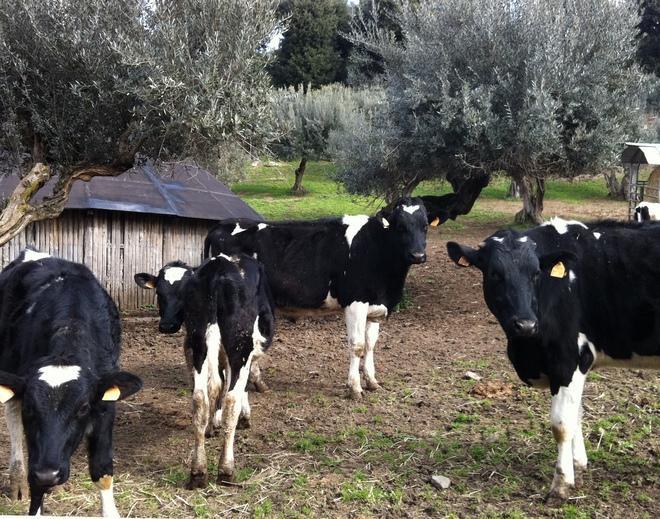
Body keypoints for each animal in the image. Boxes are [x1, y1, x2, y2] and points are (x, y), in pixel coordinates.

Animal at [0, 249, 142, 517]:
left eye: (83, 408)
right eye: (30, 408)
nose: (49, 474)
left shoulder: (105, 404)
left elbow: (102, 469)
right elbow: (36, 484)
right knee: (12, 413)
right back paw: (17, 481)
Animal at [134, 253, 274, 487]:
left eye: (180, 294)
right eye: (159, 292)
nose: (167, 325)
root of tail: (219, 269)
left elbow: (215, 385)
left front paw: (213, 423)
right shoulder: (249, 349)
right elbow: (238, 384)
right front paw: (244, 417)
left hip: (199, 342)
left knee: (199, 398)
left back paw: (198, 470)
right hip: (238, 345)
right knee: (230, 400)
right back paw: (226, 470)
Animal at [203, 197, 429, 400]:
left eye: (425, 226)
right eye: (400, 227)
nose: (418, 255)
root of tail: (222, 225)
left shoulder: (375, 307)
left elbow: (371, 344)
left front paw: (372, 382)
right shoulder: (355, 303)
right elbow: (357, 346)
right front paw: (355, 388)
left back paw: (259, 383)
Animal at [446, 217, 660, 503]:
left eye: (536, 273)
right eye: (494, 273)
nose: (525, 324)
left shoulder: (568, 358)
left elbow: (561, 424)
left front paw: (561, 484)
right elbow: (577, 413)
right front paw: (578, 463)